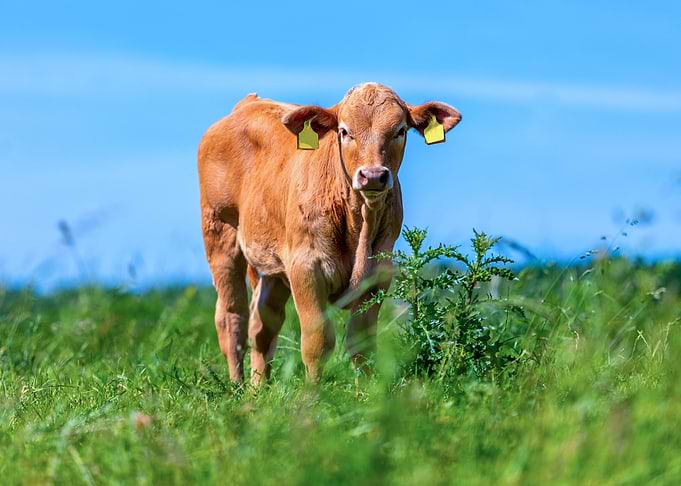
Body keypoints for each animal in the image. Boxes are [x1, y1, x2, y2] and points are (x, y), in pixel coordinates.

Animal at [198, 83, 461, 384]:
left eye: (400, 130)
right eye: (344, 131)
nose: (373, 175)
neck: (358, 223)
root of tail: (247, 104)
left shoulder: (378, 274)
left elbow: (361, 344)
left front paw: (367, 391)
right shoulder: (306, 268)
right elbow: (318, 342)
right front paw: (312, 393)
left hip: (272, 266)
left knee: (262, 324)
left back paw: (257, 387)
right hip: (220, 236)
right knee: (232, 318)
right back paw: (237, 386)